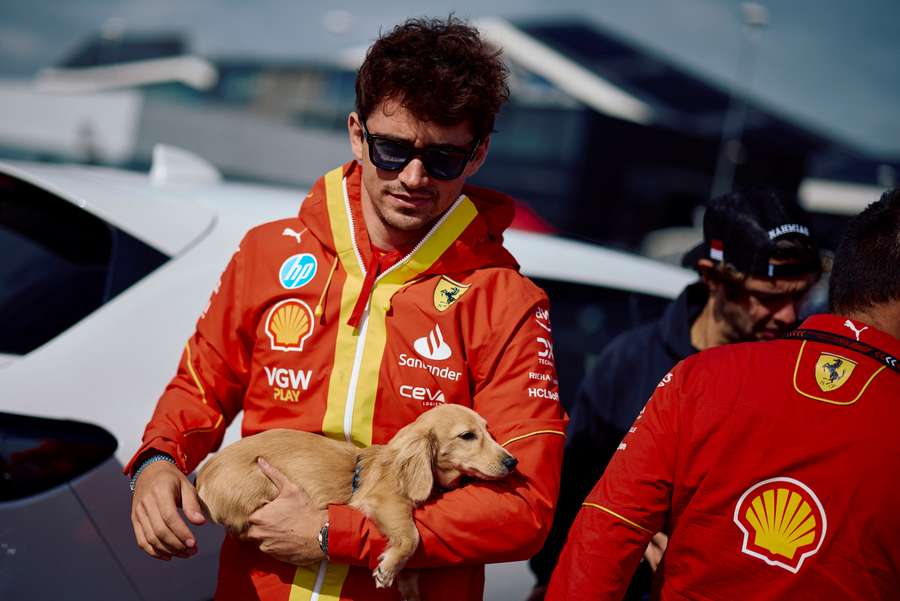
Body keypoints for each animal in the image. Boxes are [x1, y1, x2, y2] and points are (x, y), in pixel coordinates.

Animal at [197, 404, 520, 596]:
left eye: (488, 431)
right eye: (467, 436)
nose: (513, 462)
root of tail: (202, 478)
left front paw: (405, 582)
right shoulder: (385, 502)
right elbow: (411, 536)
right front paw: (389, 567)